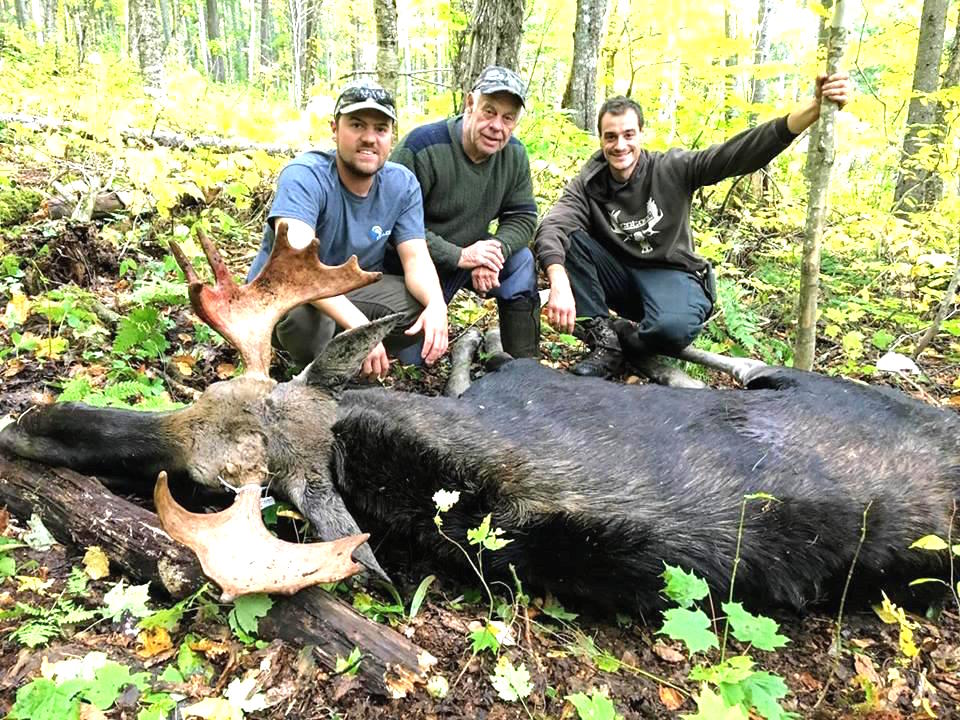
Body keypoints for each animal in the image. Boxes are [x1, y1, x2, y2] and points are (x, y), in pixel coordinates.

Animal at [1, 221, 960, 612]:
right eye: (197, 399)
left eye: (202, 484)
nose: (24, 423)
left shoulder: (517, 386)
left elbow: (486, 352)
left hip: (812, 386)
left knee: (740, 360)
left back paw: (634, 338)